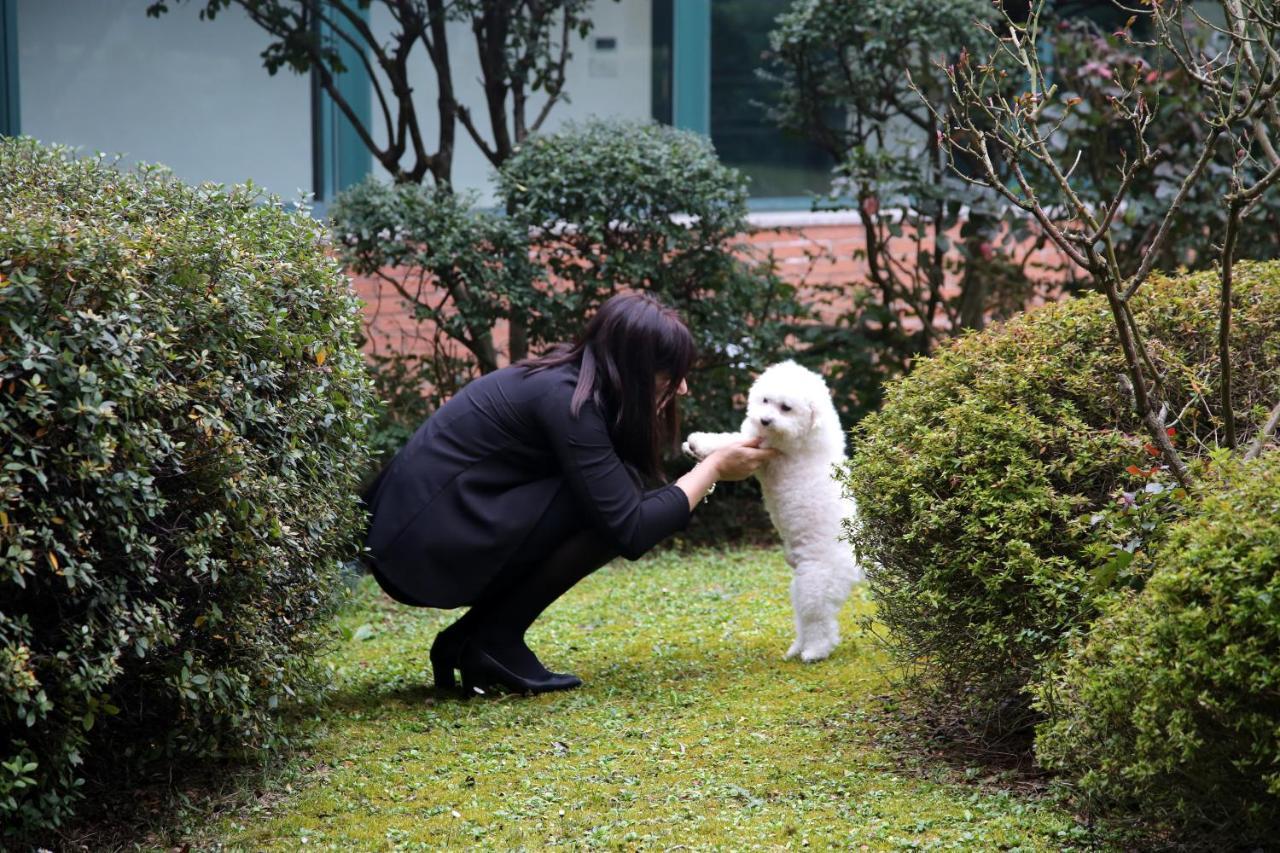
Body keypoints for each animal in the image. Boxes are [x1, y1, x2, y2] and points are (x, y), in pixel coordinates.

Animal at [680, 358, 860, 655]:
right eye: (765, 400)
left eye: (786, 407)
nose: (765, 419)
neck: (807, 430)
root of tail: (856, 564)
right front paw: (692, 446)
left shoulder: (766, 449)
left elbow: (729, 441)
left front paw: (700, 443)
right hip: (801, 585)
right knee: (808, 619)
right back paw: (797, 648)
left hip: (816, 583)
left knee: (819, 622)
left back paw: (814, 651)